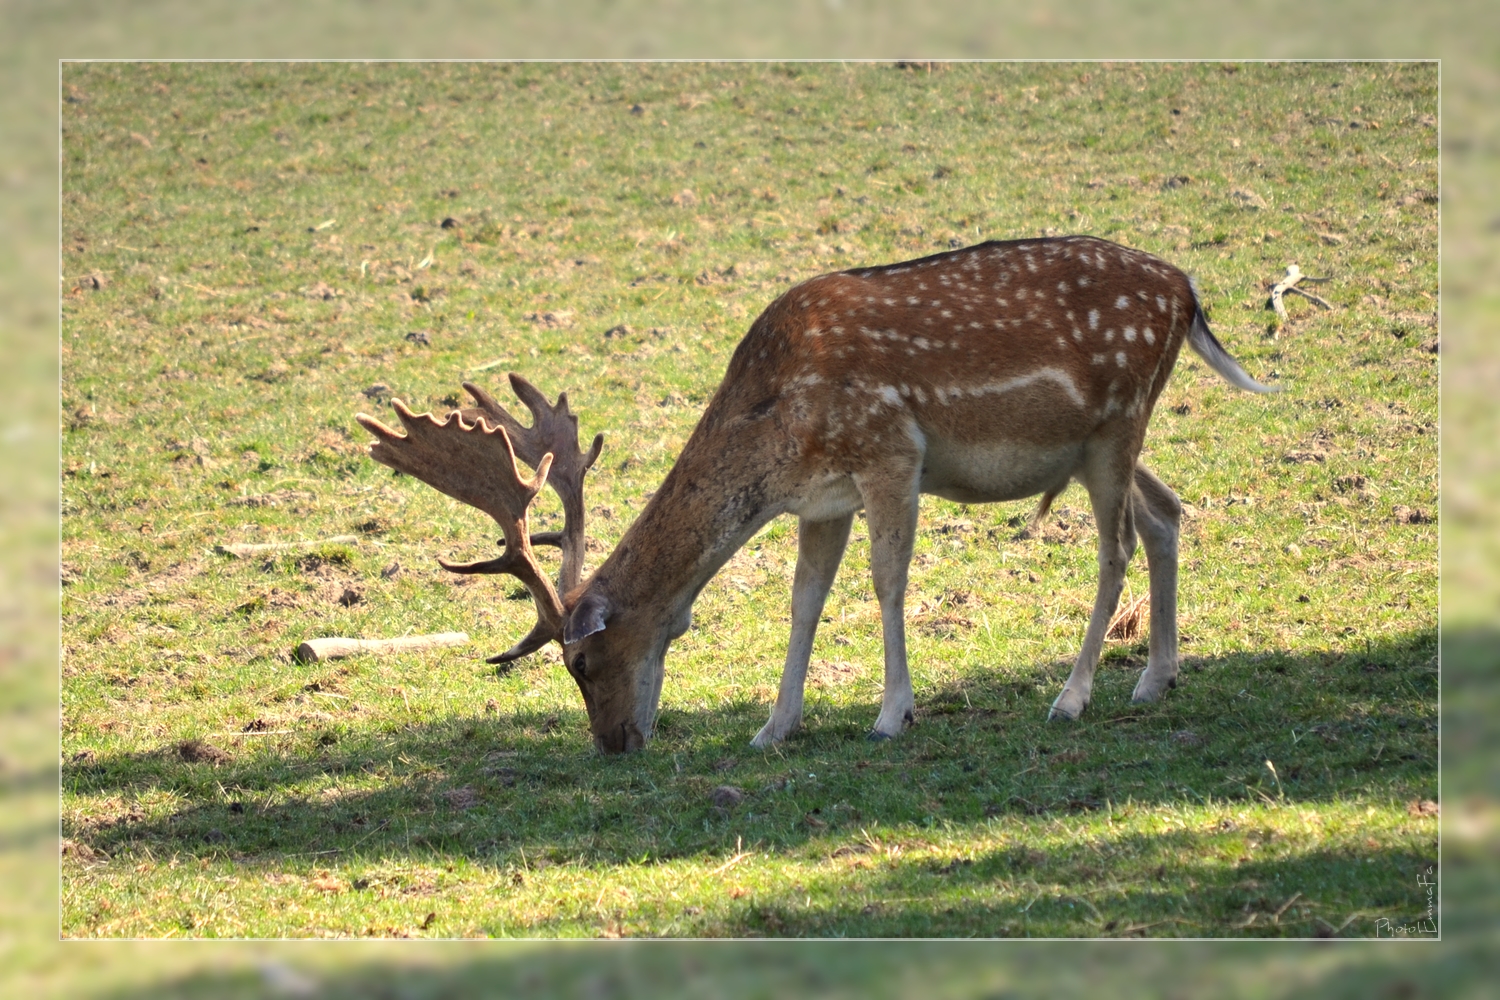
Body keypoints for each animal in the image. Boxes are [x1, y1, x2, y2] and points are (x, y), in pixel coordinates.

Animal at [357, 235, 1272, 749]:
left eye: (580, 662)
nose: (614, 743)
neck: (776, 423)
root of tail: (1188, 292)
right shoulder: (822, 498)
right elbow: (804, 603)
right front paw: (773, 727)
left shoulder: (889, 451)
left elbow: (888, 582)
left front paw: (892, 714)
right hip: (1099, 443)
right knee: (1166, 512)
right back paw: (1154, 680)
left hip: (1119, 419)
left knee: (1115, 544)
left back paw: (1072, 697)